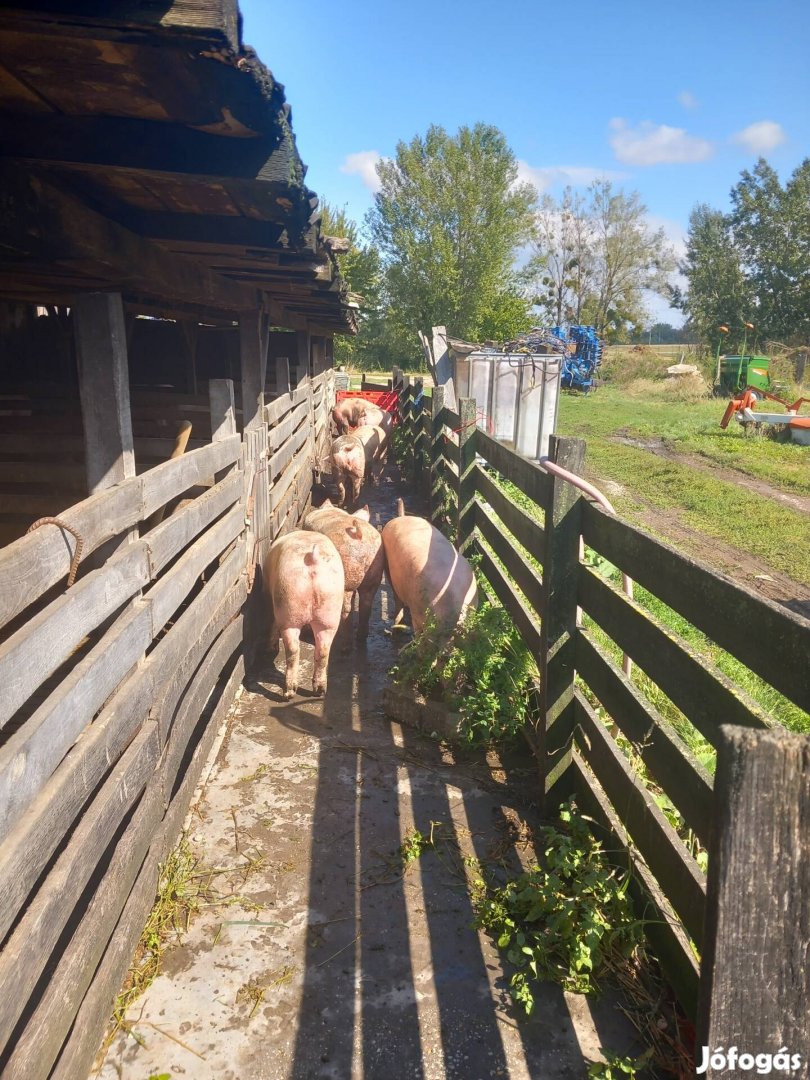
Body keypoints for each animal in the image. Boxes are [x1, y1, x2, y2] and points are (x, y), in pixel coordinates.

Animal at [263, 531, 345, 699]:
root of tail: (313, 559)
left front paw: (270, 649)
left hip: (287, 604)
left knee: (293, 649)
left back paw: (288, 693)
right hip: (330, 612)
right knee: (323, 650)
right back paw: (319, 691)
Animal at [304, 496, 386, 639]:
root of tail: (359, 535)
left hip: (346, 575)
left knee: (346, 608)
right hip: (375, 571)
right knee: (366, 603)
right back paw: (361, 636)